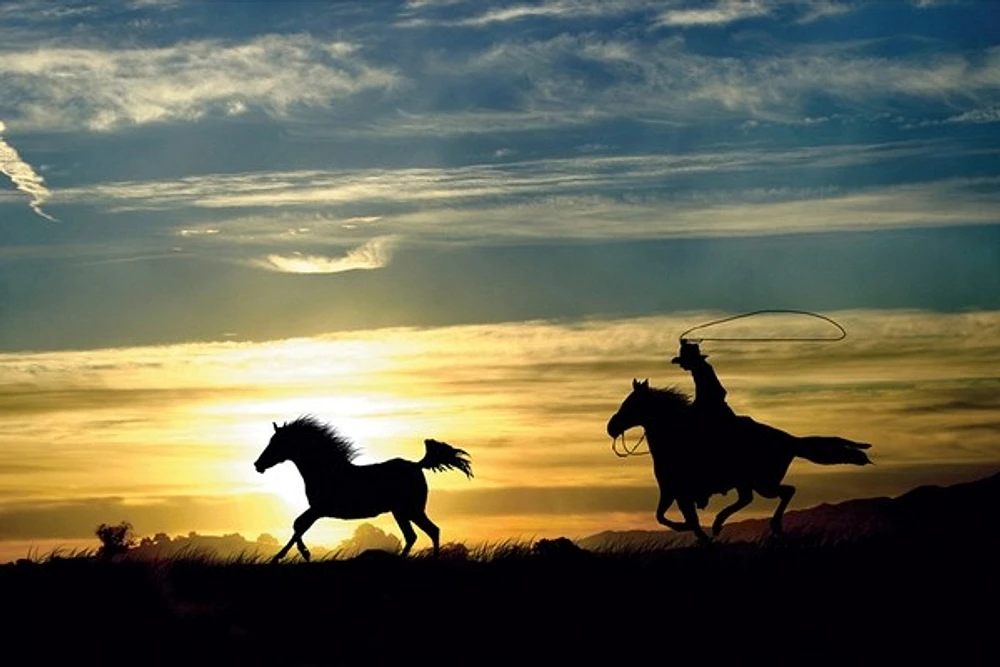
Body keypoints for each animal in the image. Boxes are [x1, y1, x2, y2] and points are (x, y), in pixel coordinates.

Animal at [254, 418, 472, 564]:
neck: (326, 471)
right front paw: (296, 554)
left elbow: (298, 525)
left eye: (276, 443)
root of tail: (417, 465)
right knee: (415, 535)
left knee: (431, 531)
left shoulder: (319, 509)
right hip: (402, 512)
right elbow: (298, 525)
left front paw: (289, 556)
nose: (258, 465)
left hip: (410, 510)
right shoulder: (317, 510)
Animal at [604, 380, 872, 544]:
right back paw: (721, 523)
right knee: (751, 498)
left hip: (763, 482)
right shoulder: (671, 492)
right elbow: (663, 516)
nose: (611, 427)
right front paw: (698, 533)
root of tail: (790, 440)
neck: (675, 438)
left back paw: (764, 526)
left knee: (786, 491)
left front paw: (697, 534)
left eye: (631, 404)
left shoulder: (680, 493)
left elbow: (680, 519)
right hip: (750, 483)